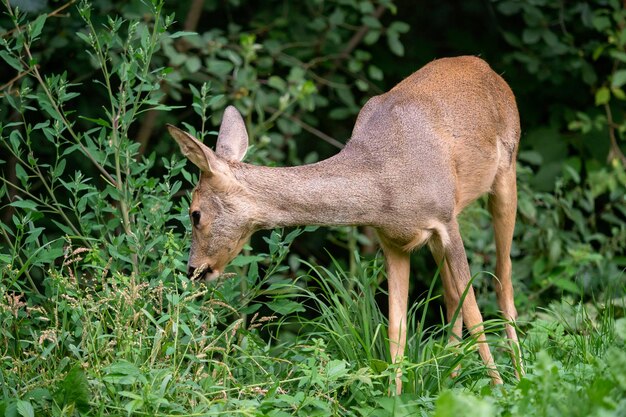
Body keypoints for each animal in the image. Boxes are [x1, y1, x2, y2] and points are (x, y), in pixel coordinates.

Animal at [167, 54, 520, 390]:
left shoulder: (445, 221)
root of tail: (484, 67)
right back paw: (451, 373)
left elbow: (475, 312)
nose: (193, 269)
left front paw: (501, 389)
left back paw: (517, 372)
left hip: (505, 173)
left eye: (195, 213)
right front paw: (394, 398)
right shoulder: (394, 240)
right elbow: (397, 330)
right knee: (450, 294)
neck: (385, 185)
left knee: (503, 278)